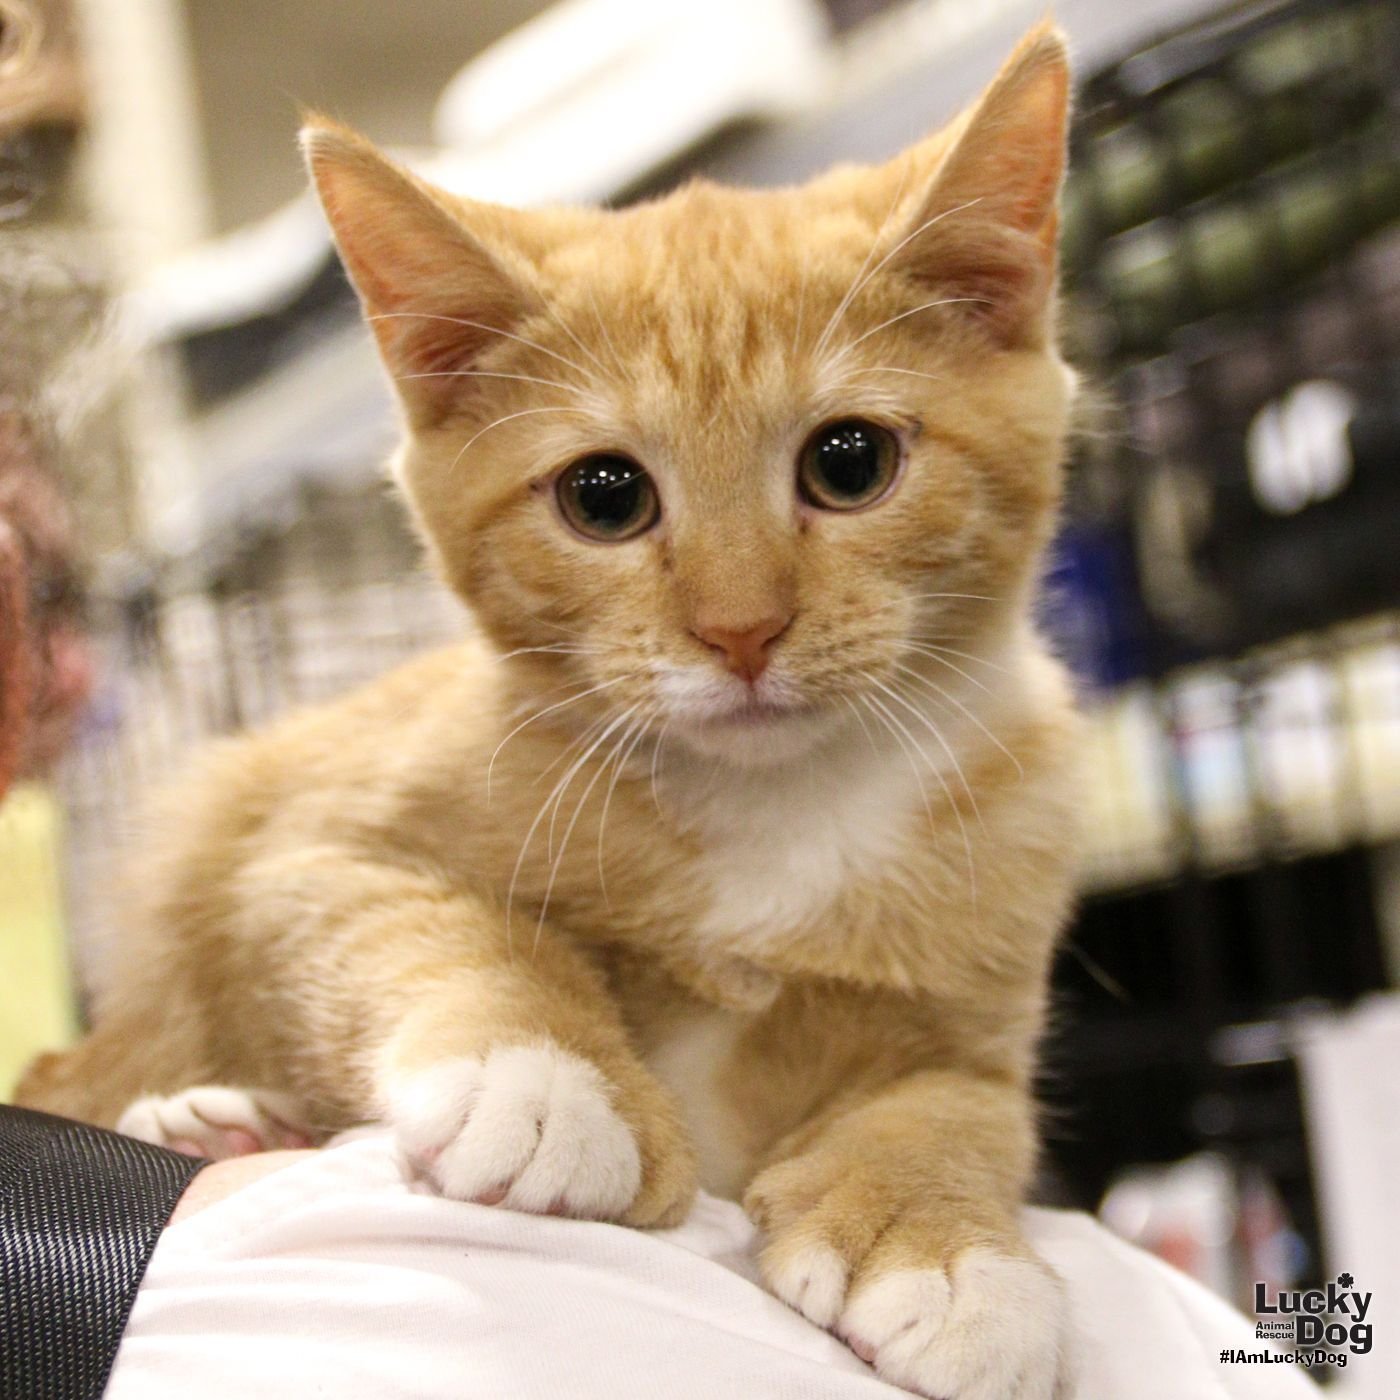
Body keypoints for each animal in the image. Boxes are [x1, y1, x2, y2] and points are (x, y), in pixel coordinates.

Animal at [19, 24, 1080, 1400]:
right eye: (604, 495)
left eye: (849, 462)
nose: (740, 629)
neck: (774, 811)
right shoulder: (298, 849)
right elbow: (439, 926)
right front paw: (547, 1076)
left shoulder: (980, 981)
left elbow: (958, 1099)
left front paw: (946, 1245)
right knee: (76, 1069)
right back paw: (214, 1118)